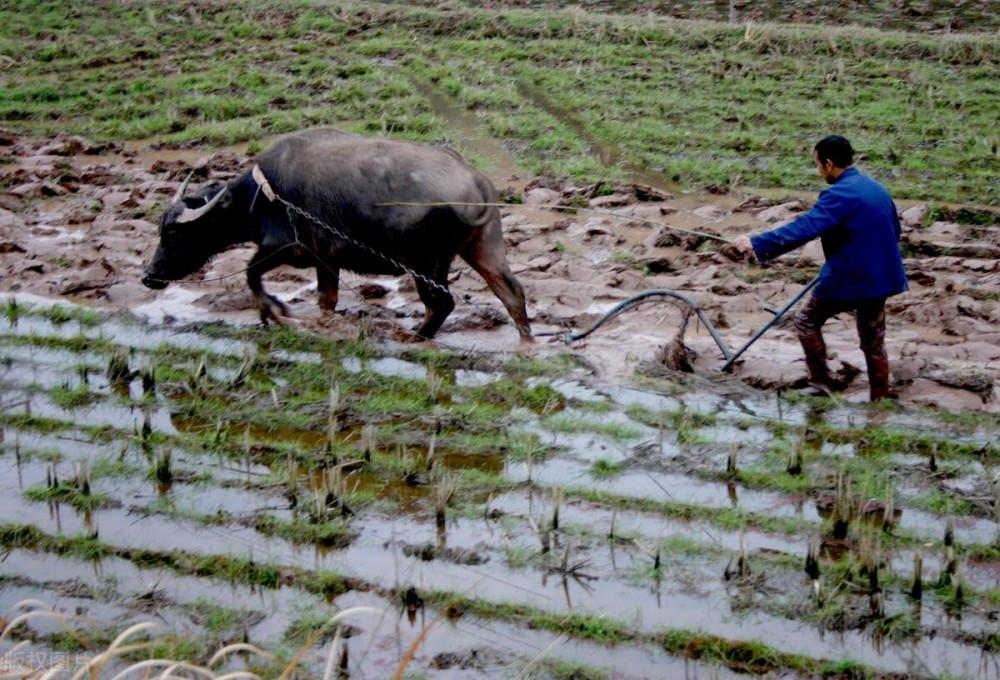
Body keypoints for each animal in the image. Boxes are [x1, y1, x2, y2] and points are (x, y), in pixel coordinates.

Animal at [143, 127, 532, 340]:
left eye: (174, 234)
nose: (149, 277)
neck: (261, 197)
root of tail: (474, 180)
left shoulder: (290, 249)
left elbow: (252, 274)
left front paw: (274, 310)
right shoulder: (325, 260)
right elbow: (326, 301)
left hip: (428, 264)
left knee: (441, 305)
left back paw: (415, 338)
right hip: (483, 248)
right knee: (511, 292)